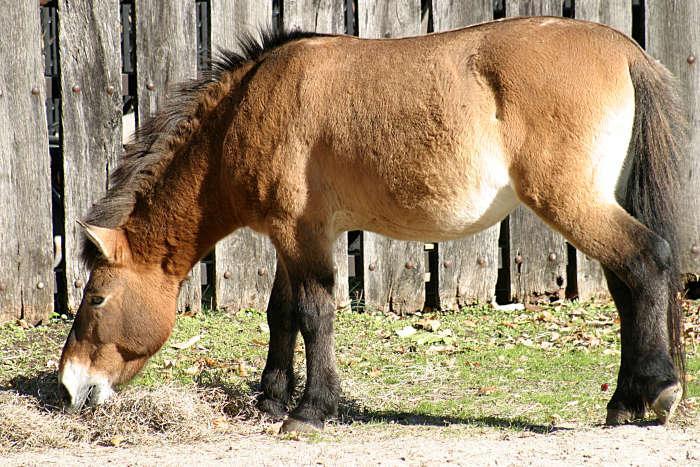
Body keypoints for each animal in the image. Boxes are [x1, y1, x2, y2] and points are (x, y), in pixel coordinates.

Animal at [57, 17, 688, 436]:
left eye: (96, 298)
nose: (69, 386)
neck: (249, 107)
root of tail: (624, 49)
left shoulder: (302, 233)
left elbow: (314, 313)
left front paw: (311, 410)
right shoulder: (295, 237)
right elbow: (281, 314)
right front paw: (271, 399)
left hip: (572, 203)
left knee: (648, 262)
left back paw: (659, 389)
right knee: (628, 286)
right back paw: (625, 402)